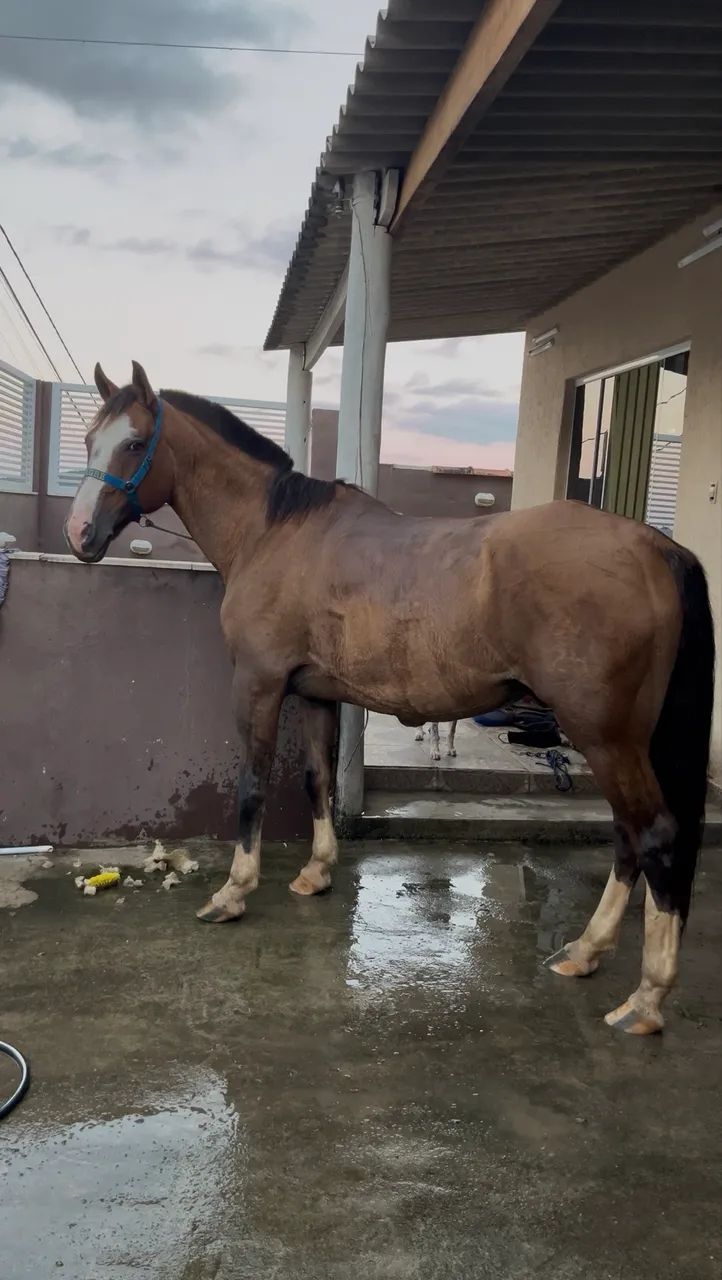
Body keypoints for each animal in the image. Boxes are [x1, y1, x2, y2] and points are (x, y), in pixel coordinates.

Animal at [64, 361, 714, 1037]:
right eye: (89, 439)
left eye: (135, 443)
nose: (79, 533)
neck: (274, 532)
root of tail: (657, 549)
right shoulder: (316, 694)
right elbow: (317, 779)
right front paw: (317, 872)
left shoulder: (260, 684)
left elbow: (252, 786)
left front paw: (234, 892)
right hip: (625, 741)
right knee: (627, 835)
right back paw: (585, 951)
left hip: (606, 737)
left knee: (653, 834)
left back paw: (645, 998)